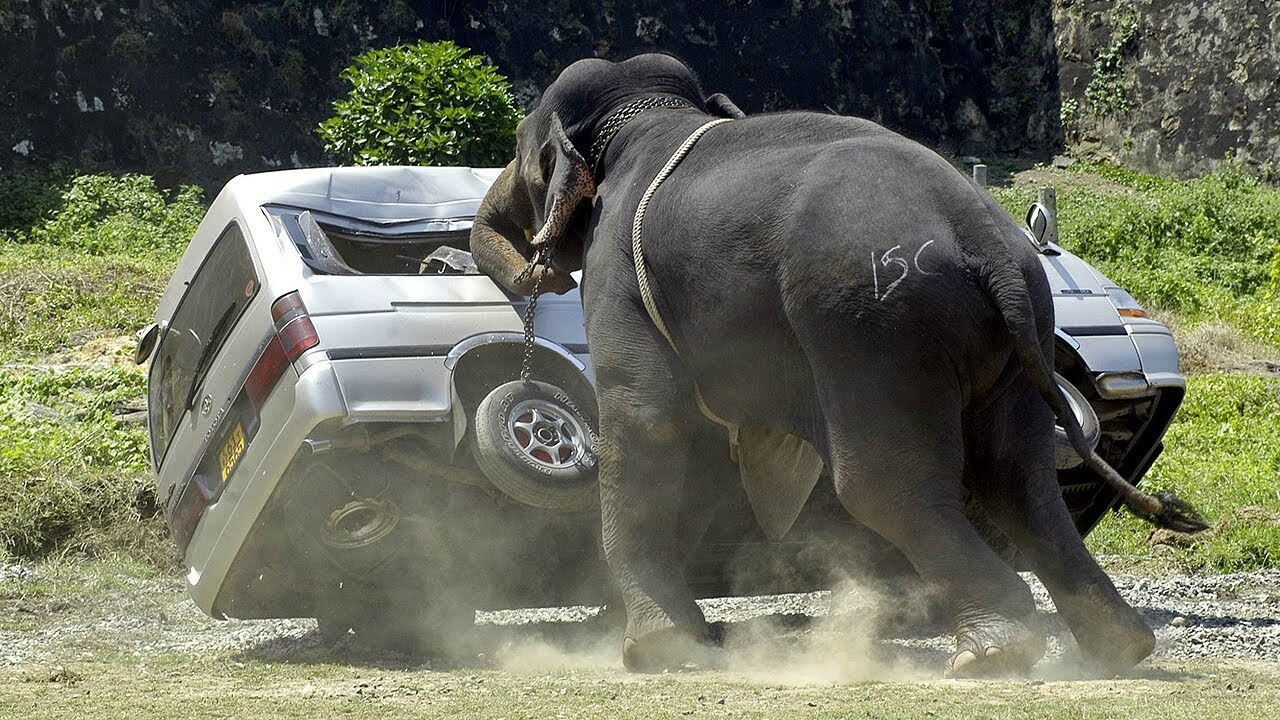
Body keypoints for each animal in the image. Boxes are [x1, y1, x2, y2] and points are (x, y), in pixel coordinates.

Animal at [465, 53, 1203, 676]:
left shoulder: (616, 269)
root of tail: (989, 244)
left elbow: (650, 421)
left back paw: (993, 653)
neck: (648, 115)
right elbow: (703, 445)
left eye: (522, 155)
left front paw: (656, 651)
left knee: (883, 481)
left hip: (872, 327)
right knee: (1018, 473)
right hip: (1020, 336)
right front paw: (681, 636)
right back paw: (1119, 648)